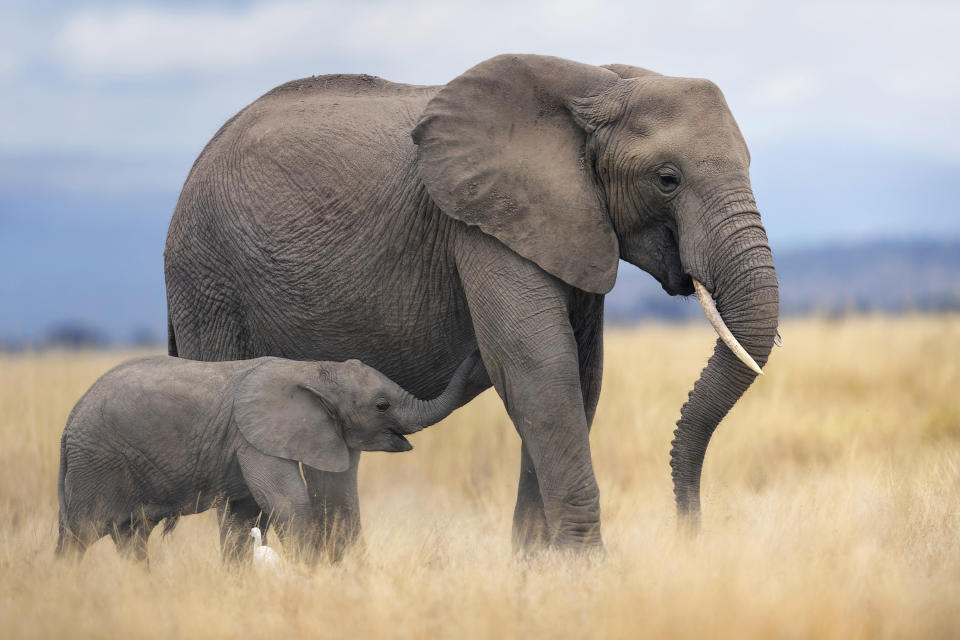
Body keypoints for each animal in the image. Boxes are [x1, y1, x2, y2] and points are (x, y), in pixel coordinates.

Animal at [55, 352, 476, 564]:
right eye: (382, 405)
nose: (475, 355)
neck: (315, 370)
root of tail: (68, 424)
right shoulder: (252, 437)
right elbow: (290, 502)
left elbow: (249, 515)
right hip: (95, 463)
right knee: (79, 534)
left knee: (130, 539)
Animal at [167, 55, 780, 556]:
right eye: (667, 179)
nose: (689, 535)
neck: (596, 83)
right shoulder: (481, 222)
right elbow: (539, 369)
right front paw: (585, 573)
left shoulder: (569, 222)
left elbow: (579, 377)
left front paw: (538, 572)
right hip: (207, 278)